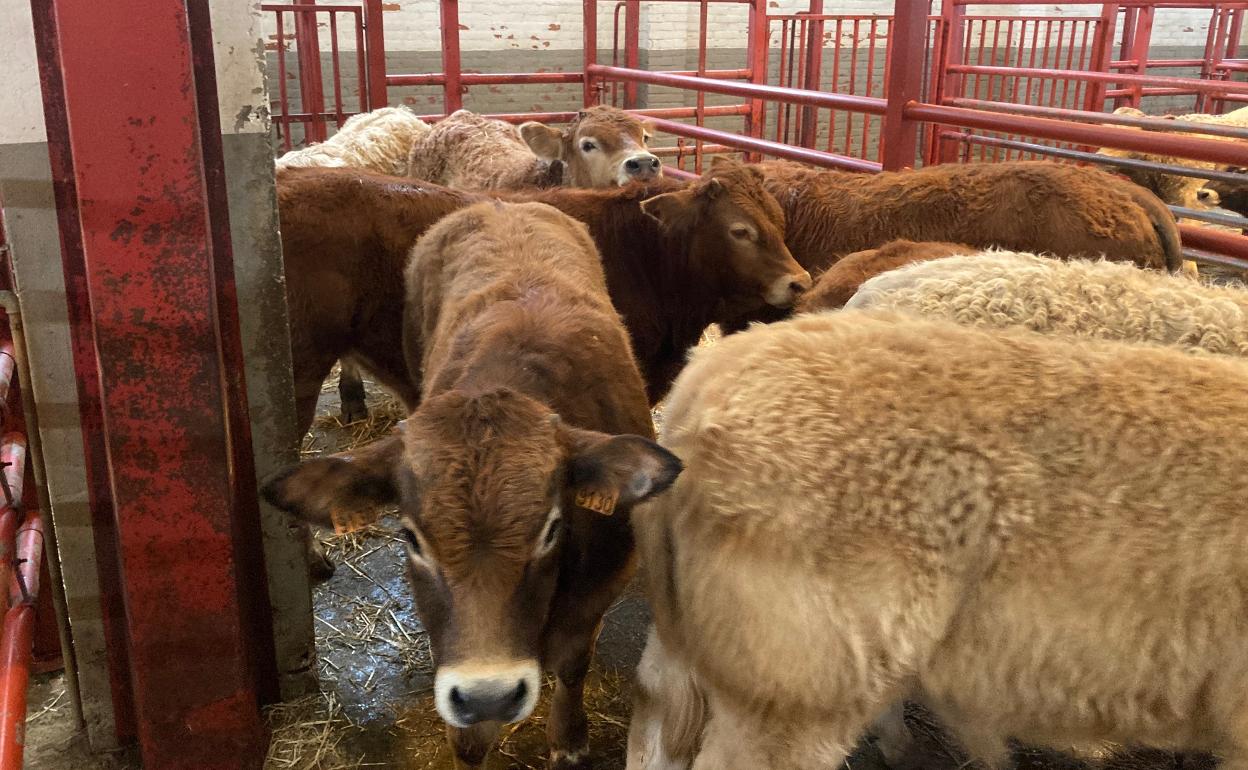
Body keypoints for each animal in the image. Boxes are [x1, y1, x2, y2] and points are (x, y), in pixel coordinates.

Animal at [263, 199, 683, 768]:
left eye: (552, 529)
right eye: (411, 537)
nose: (490, 694)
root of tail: (500, 202)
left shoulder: (600, 586)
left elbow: (574, 665)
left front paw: (569, 737)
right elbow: (467, 738)